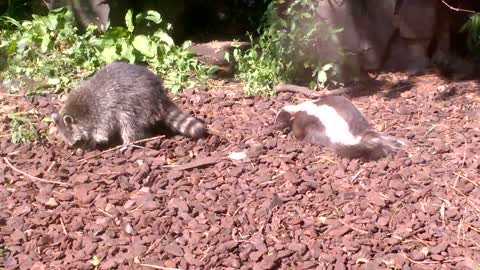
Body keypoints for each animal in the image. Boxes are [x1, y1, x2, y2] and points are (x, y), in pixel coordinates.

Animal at [52, 62, 208, 149]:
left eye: (77, 142)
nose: (78, 152)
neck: (78, 112)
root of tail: (158, 94)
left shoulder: (102, 112)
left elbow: (102, 132)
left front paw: (93, 141)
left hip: (136, 103)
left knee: (129, 123)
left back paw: (128, 143)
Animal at [274, 95, 404, 159]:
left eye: (279, 121)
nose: (274, 126)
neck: (297, 109)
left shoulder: (303, 119)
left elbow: (298, 131)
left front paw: (293, 136)